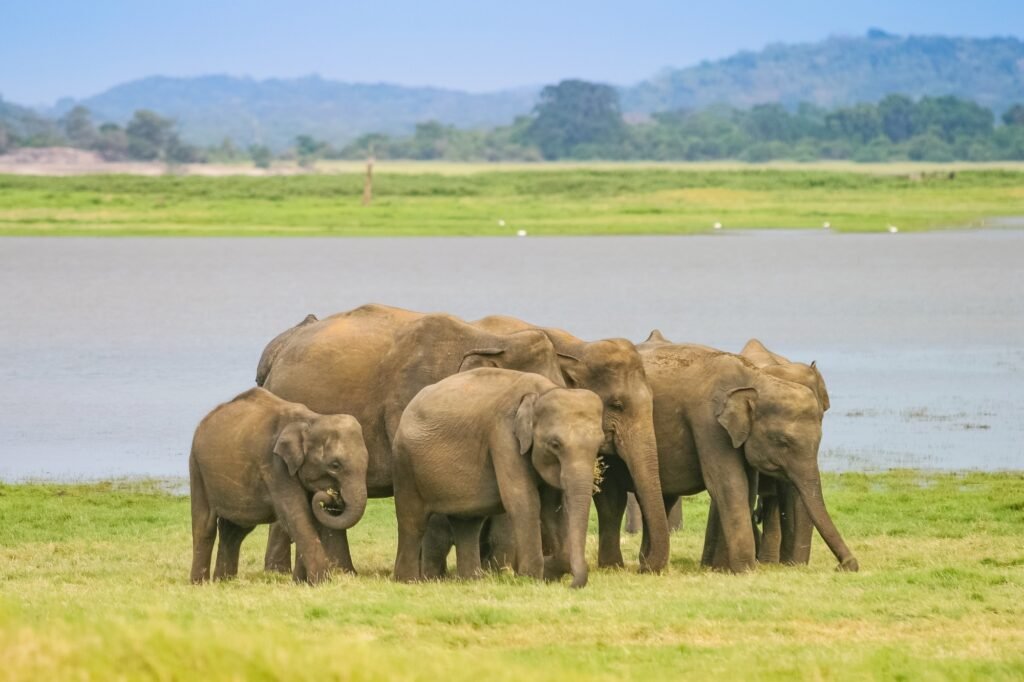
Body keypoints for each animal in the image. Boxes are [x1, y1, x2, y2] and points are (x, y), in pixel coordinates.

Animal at [188, 387, 368, 584]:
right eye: (335, 465)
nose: (332, 495)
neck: (311, 420)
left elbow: (310, 518)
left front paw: (301, 583)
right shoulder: (275, 466)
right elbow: (297, 515)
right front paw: (322, 582)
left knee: (235, 531)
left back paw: (224, 582)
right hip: (197, 468)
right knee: (205, 526)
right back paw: (199, 584)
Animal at [393, 368, 605, 588]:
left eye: (600, 443)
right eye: (555, 444)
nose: (572, 585)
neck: (540, 393)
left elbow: (553, 509)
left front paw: (548, 572)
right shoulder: (503, 436)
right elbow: (524, 501)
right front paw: (530, 578)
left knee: (467, 524)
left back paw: (471, 580)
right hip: (406, 465)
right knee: (413, 521)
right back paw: (407, 581)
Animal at [628, 340, 857, 573]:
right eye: (782, 441)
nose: (845, 566)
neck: (756, 379)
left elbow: (748, 486)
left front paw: (725, 569)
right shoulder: (709, 423)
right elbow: (728, 482)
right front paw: (743, 569)